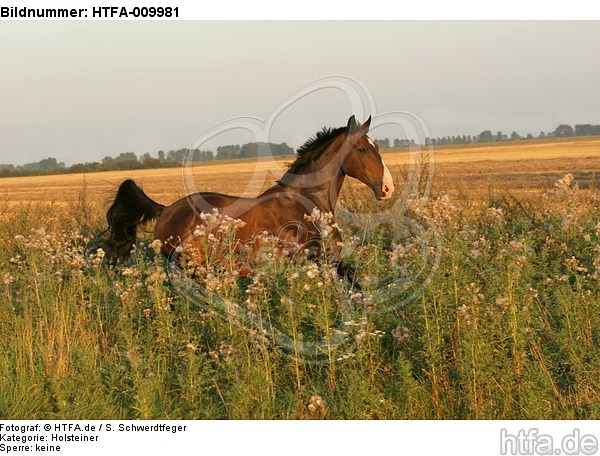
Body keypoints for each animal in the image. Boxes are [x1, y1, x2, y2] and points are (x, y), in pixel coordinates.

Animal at [99, 116, 394, 284]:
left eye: (377, 146)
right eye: (362, 148)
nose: (388, 187)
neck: (306, 204)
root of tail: (166, 210)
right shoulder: (312, 260)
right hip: (190, 269)